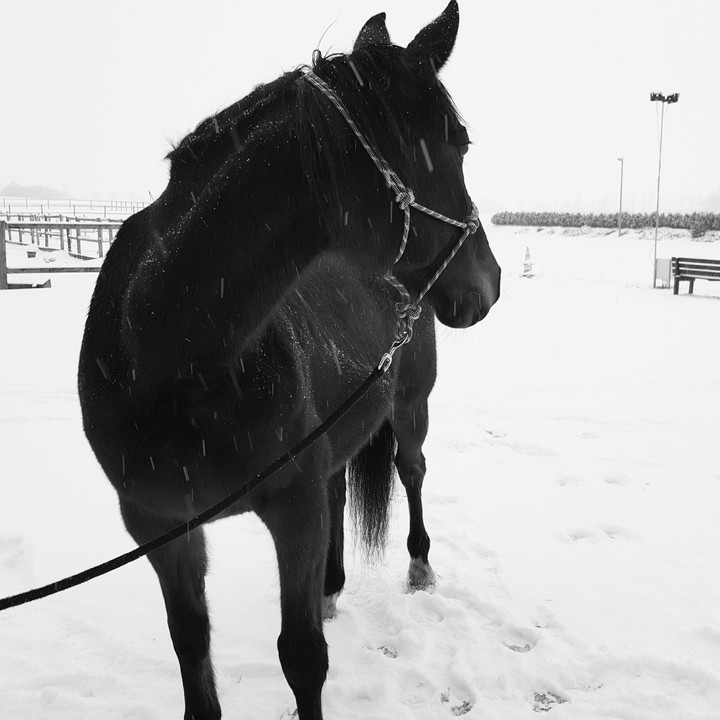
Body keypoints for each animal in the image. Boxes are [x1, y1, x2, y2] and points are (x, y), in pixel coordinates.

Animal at [77, 3, 500, 718]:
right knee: (341, 485)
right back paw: (329, 587)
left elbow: (302, 657)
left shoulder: (293, 508)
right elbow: (192, 647)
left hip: (410, 410)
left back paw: (417, 567)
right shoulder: (158, 525)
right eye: (461, 142)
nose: (489, 283)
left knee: (412, 472)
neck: (171, 354)